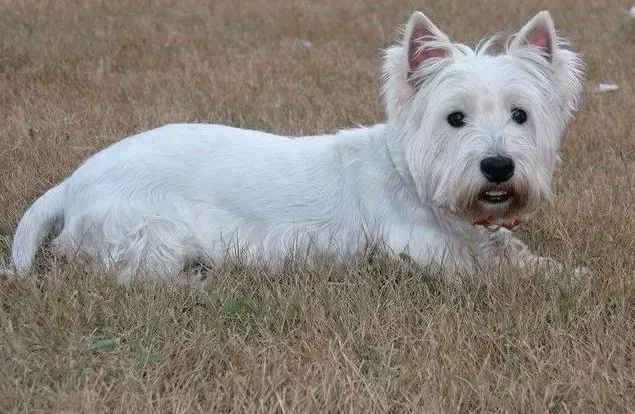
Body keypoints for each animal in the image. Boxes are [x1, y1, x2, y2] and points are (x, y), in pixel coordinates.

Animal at [9, 10, 588, 282]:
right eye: (455, 118)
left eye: (520, 114)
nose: (498, 167)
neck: (412, 179)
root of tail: (72, 182)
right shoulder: (421, 253)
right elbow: (491, 275)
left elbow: (519, 255)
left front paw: (572, 274)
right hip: (152, 230)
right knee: (135, 275)